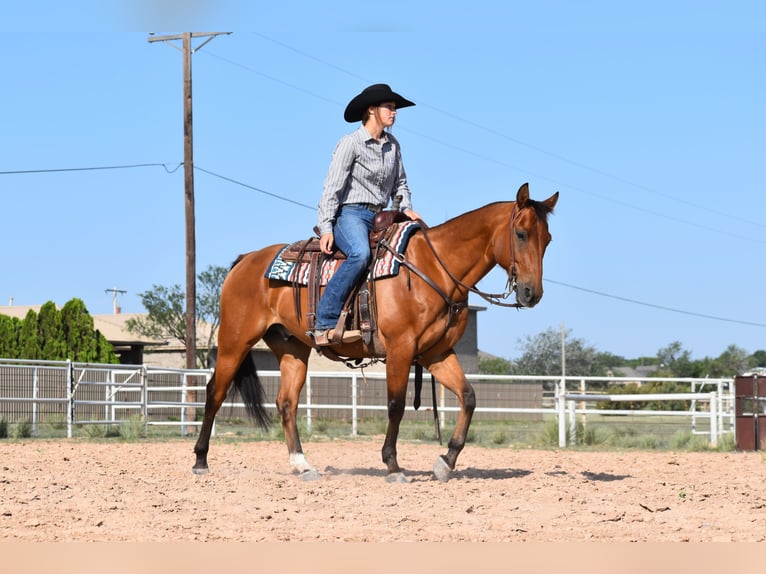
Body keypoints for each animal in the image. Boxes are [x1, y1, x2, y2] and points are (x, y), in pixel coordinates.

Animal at [193, 182, 558, 482]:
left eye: (548, 239)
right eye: (521, 234)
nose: (533, 294)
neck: (435, 268)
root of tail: (245, 261)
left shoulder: (436, 353)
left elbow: (468, 397)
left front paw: (446, 461)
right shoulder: (400, 349)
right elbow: (395, 405)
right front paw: (393, 465)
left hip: (292, 348)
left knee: (286, 403)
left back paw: (303, 465)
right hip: (234, 341)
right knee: (214, 392)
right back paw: (200, 461)